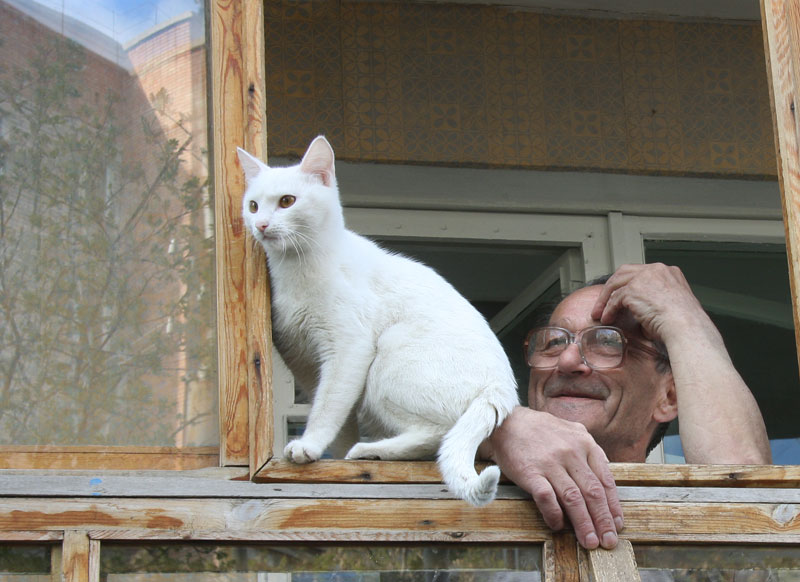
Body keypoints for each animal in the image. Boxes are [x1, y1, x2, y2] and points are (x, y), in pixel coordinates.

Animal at [237, 136, 519, 506]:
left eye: (287, 201)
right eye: (253, 205)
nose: (261, 225)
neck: (296, 269)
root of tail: (501, 388)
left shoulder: (347, 349)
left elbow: (328, 407)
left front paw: (308, 445)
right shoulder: (305, 363)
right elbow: (336, 414)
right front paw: (332, 457)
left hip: (388, 356)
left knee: (436, 434)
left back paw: (368, 451)